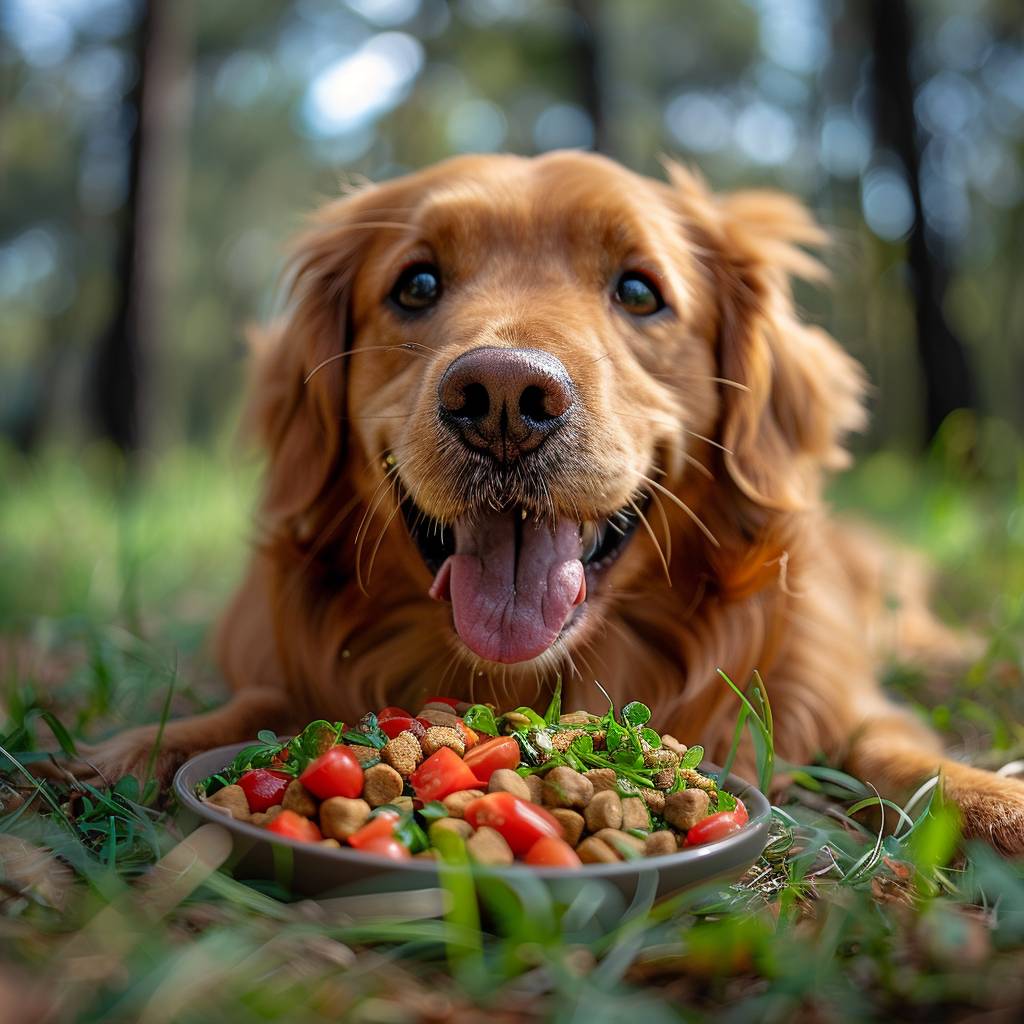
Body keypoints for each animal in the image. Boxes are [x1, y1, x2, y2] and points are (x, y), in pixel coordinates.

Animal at [83, 151, 1024, 851]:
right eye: (416, 285)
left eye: (640, 291)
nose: (503, 398)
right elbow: (248, 708)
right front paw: (128, 755)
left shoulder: (837, 702)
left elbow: (907, 761)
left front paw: (996, 803)